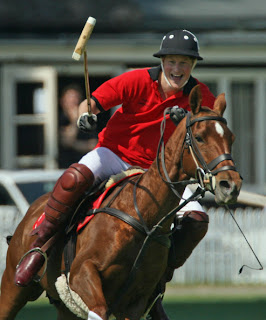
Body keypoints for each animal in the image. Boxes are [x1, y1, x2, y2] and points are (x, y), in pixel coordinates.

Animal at [0, 85, 241, 320]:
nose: (230, 185)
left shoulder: (135, 301)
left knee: (197, 219)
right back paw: (30, 259)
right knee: (76, 176)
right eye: (199, 137)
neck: (143, 217)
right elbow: (98, 309)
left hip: (65, 307)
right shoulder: (81, 273)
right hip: (13, 286)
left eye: (231, 138)